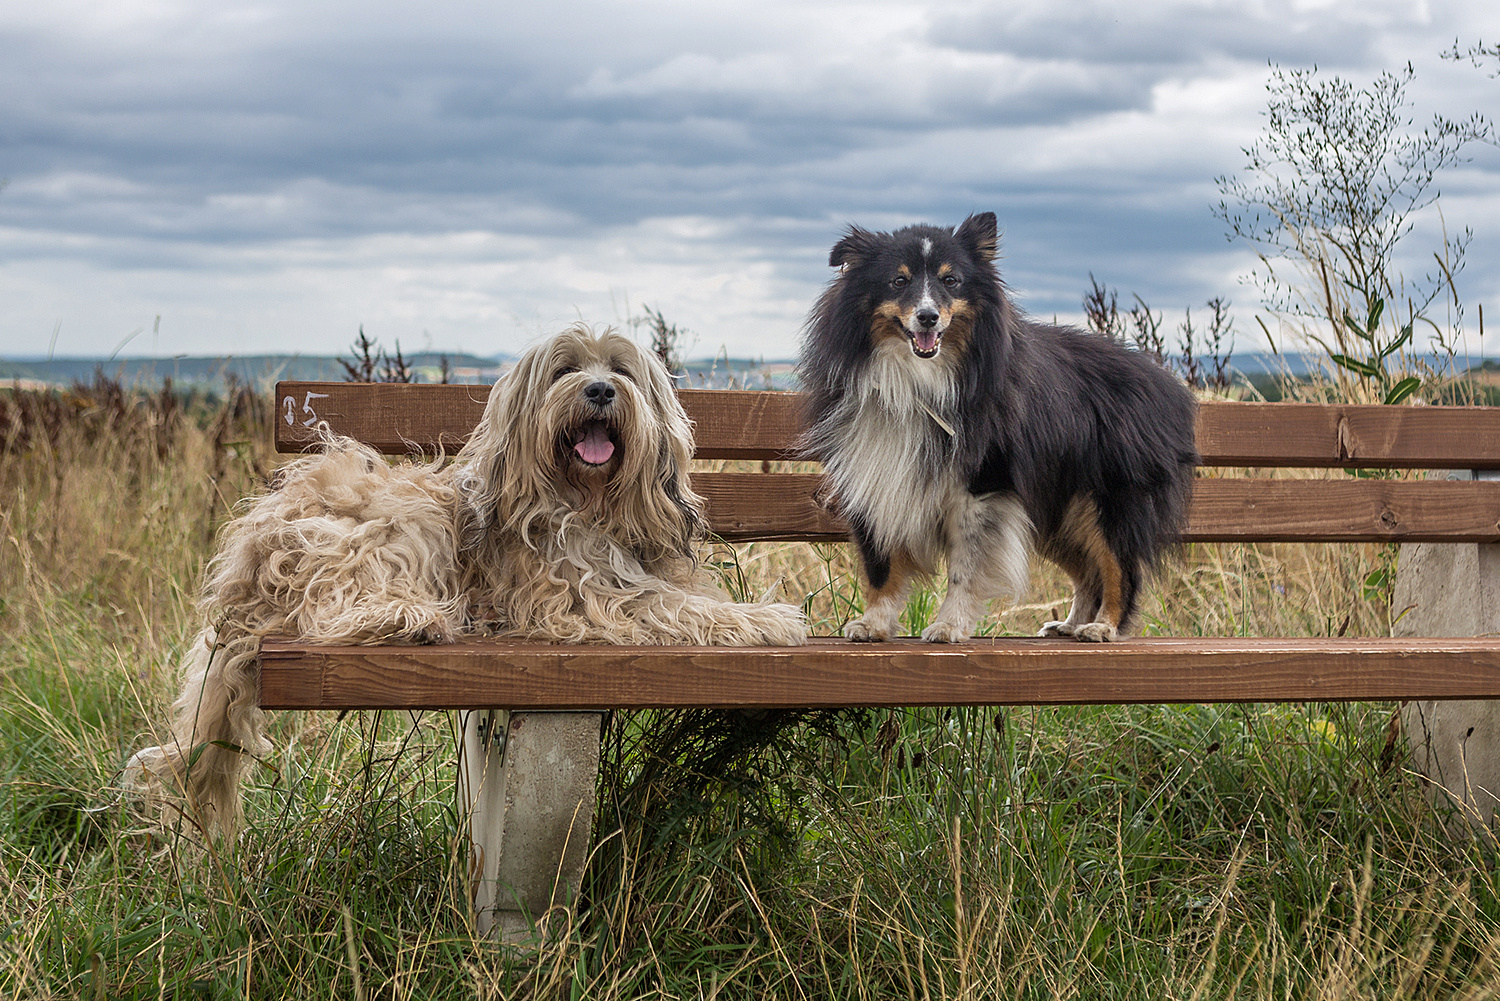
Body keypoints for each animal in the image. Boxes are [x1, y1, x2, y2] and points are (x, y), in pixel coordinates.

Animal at [129, 325, 810, 834]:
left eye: (622, 369)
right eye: (563, 370)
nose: (598, 390)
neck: (590, 504)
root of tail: (249, 549)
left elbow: (689, 597)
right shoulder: (583, 599)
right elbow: (678, 608)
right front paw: (770, 620)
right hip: (392, 524)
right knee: (331, 609)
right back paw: (407, 619)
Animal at [798, 216, 1194, 645]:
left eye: (951, 281)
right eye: (898, 281)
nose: (928, 316)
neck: (918, 378)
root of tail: (1166, 381)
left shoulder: (983, 486)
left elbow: (965, 568)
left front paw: (949, 625)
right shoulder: (875, 472)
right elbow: (880, 566)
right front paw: (872, 624)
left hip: (1109, 500)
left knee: (1120, 567)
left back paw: (1102, 627)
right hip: (1059, 509)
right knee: (1089, 571)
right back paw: (1069, 625)